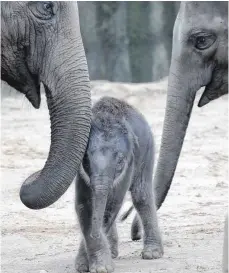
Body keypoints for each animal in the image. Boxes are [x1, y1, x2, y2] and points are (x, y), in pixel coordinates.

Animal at [75, 96, 163, 270]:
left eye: (120, 161)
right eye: (86, 159)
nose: (95, 233)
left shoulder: (129, 163)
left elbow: (111, 205)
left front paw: (98, 267)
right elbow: (84, 204)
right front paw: (83, 266)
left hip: (147, 150)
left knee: (141, 195)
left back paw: (152, 254)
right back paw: (113, 252)